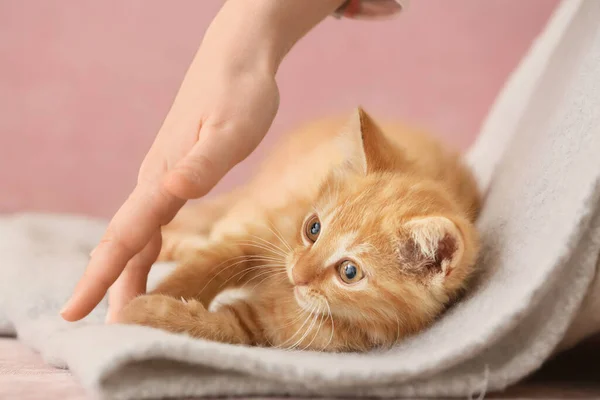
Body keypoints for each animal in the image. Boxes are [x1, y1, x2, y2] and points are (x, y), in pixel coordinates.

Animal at [119, 108, 480, 352]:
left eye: (349, 272)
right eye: (314, 228)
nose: (297, 274)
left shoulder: (261, 326)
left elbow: (215, 327)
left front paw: (142, 310)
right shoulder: (263, 236)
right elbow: (213, 262)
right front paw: (149, 295)